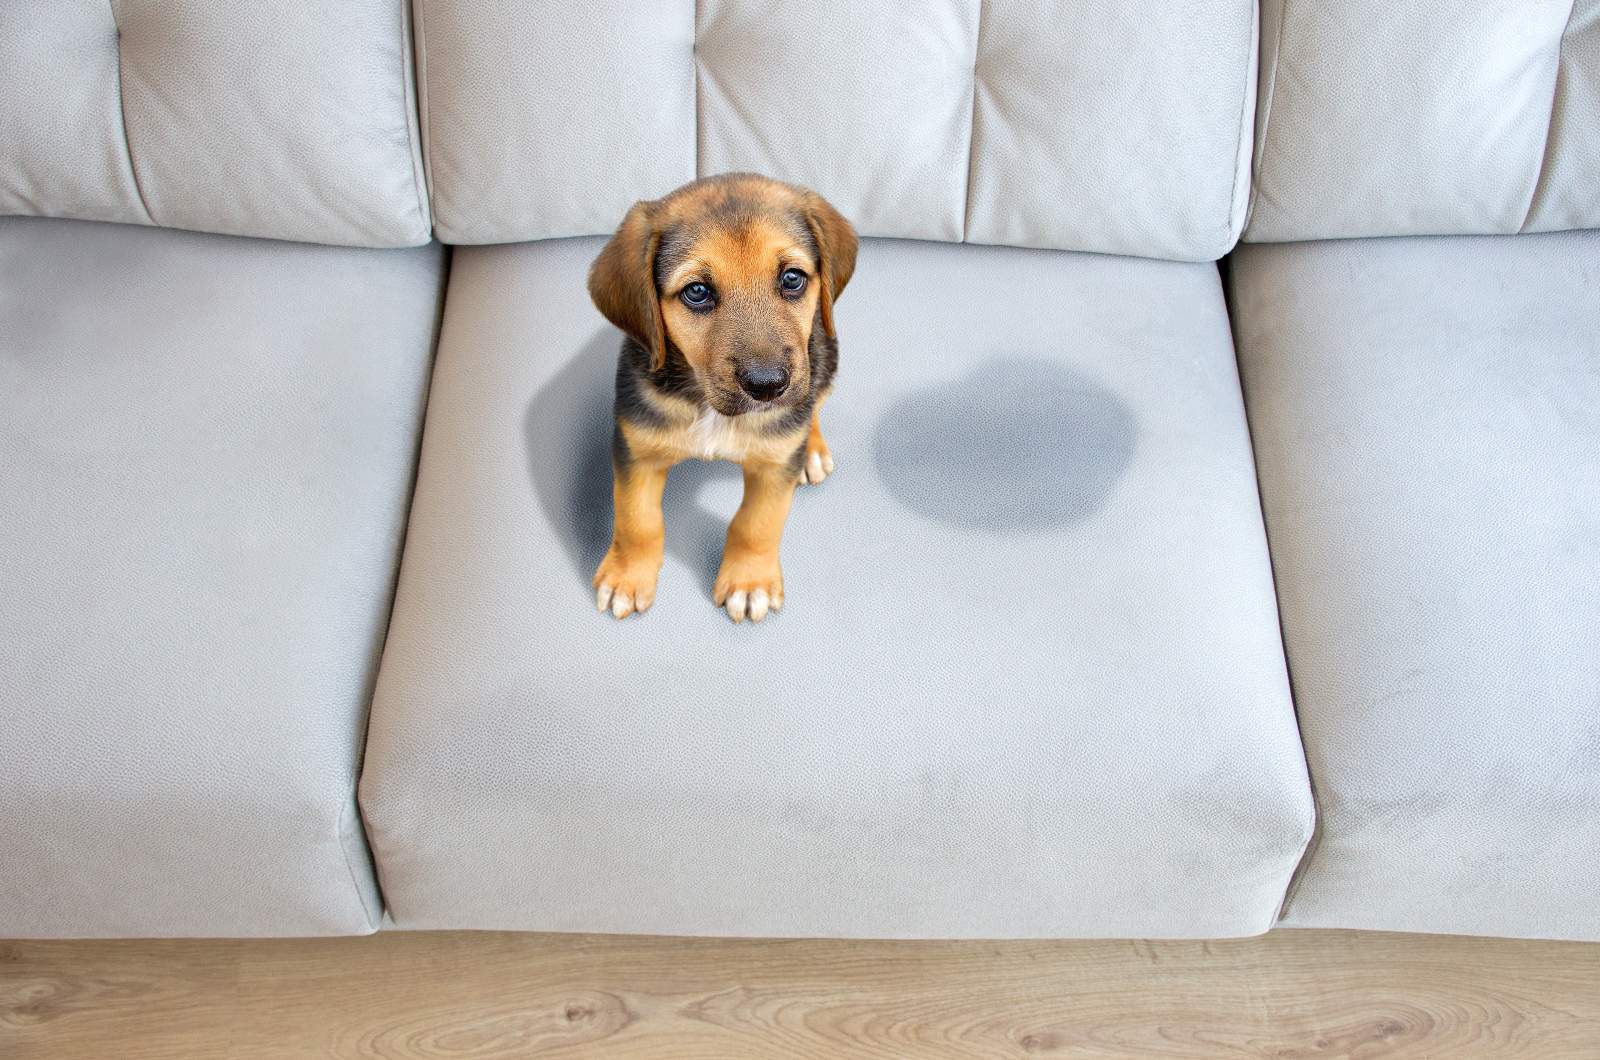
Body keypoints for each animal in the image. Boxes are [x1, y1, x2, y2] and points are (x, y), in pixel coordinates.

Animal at [592, 172, 864, 624]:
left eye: (792, 279)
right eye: (697, 291)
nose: (768, 386)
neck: (709, 406)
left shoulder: (774, 466)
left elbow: (756, 524)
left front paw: (749, 582)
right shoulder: (637, 450)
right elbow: (636, 520)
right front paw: (627, 577)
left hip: (824, 359)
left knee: (815, 405)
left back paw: (812, 450)